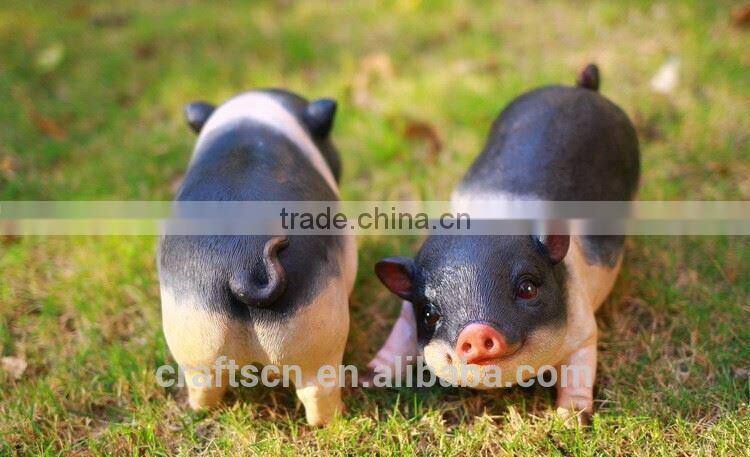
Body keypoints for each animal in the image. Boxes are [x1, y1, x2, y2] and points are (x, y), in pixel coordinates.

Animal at [158, 89, 357, 425]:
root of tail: (242, 268)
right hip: (321, 341)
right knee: (318, 392)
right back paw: (334, 419)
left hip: (193, 341)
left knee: (204, 386)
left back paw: (203, 412)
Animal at [369, 64, 640, 422]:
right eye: (428, 313)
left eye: (528, 288)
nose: (475, 332)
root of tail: (583, 88)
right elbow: (399, 337)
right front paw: (369, 375)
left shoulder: (584, 328)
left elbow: (579, 370)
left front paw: (570, 421)